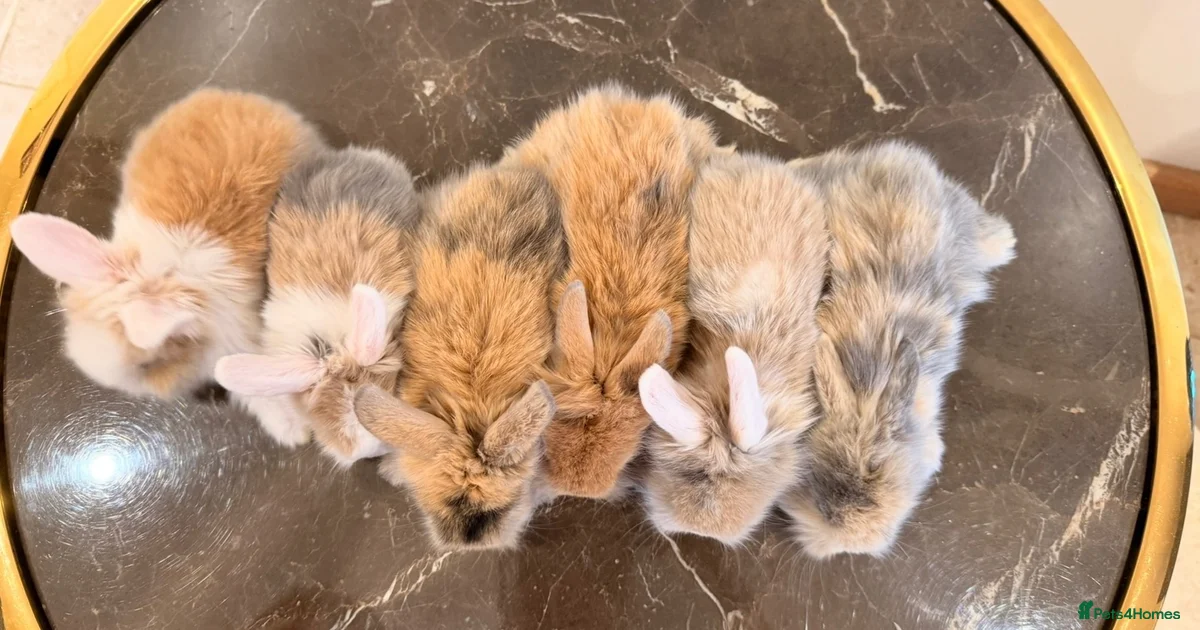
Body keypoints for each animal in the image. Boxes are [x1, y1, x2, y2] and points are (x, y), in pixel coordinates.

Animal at [8, 88, 322, 445]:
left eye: (147, 365)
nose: (154, 393)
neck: (163, 275)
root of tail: (228, 95)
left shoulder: (239, 339)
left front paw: (295, 433)